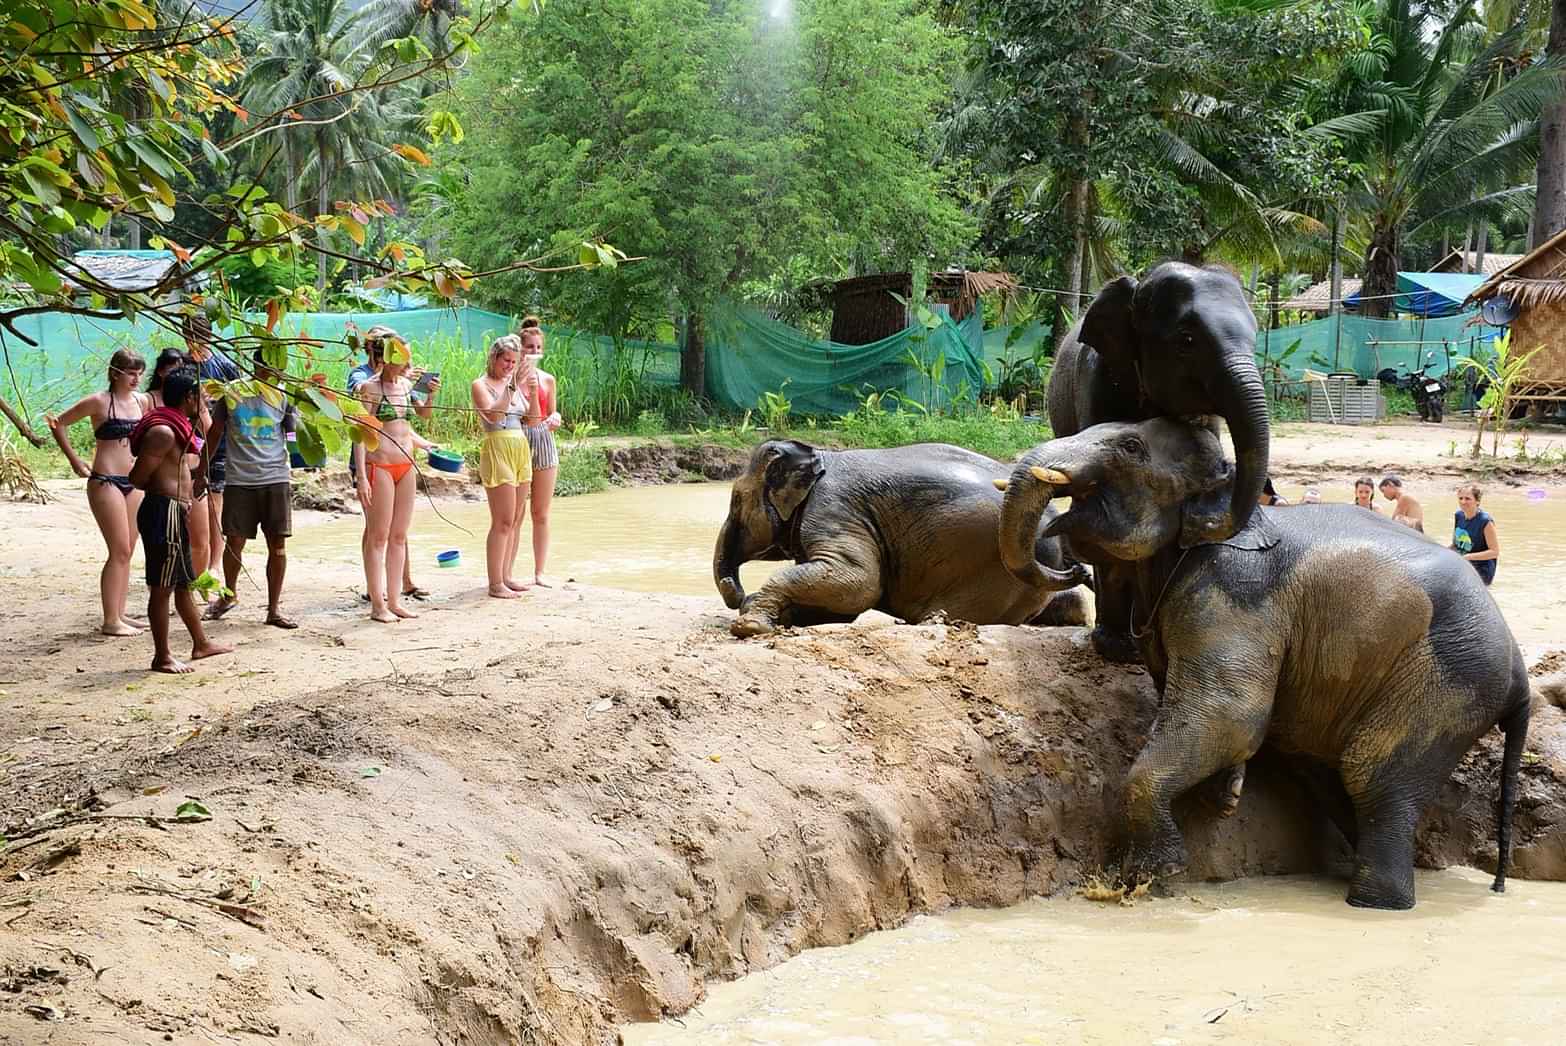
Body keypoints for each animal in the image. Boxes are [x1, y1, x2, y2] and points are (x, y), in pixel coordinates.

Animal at [714, 438, 1089, 638]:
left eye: (735, 500)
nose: (737, 592)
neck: (819, 455)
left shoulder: (833, 508)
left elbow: (860, 581)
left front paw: (750, 626)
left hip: (991, 569)